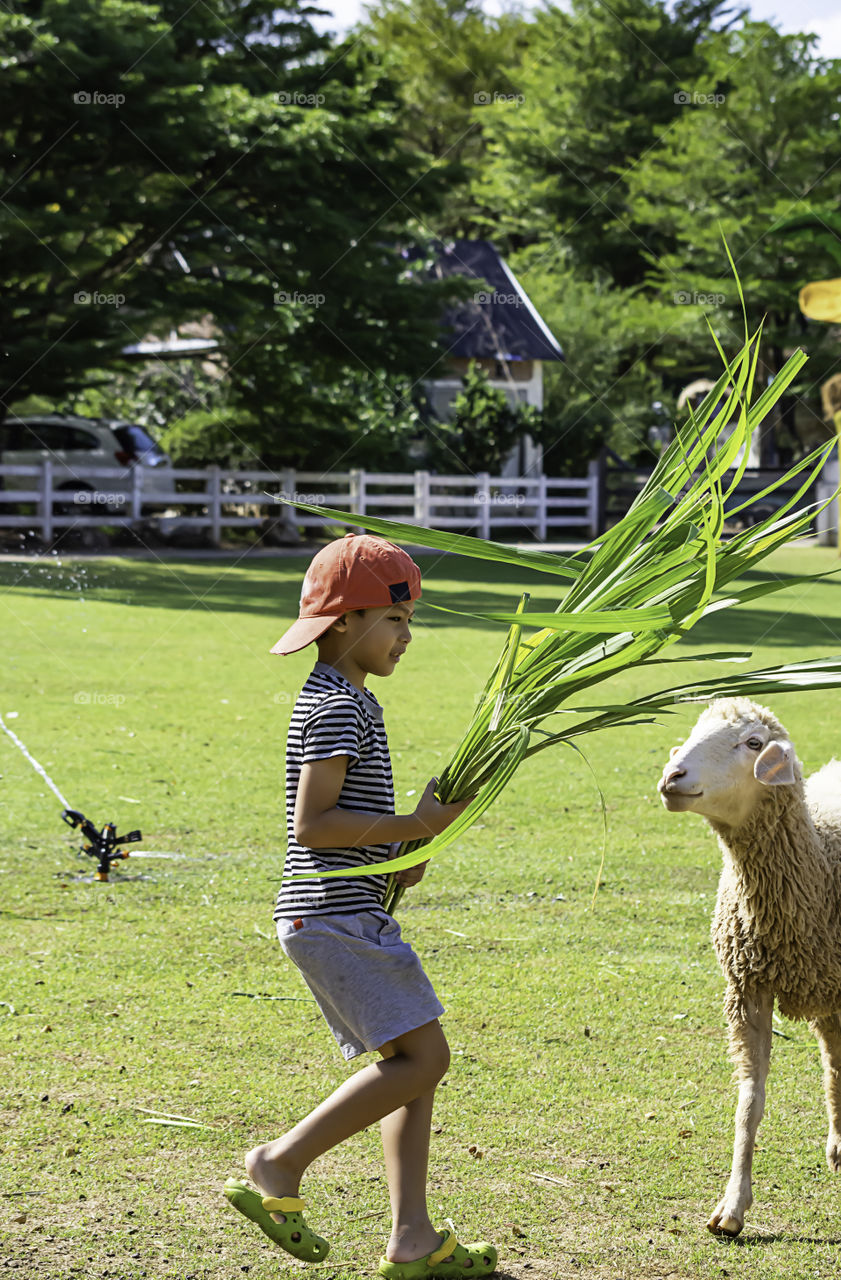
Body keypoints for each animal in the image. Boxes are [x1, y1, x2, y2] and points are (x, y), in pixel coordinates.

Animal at [655, 701, 839, 1239]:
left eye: (754, 743)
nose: (673, 776)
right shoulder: (747, 991)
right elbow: (748, 1104)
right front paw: (732, 1206)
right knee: (833, 1058)